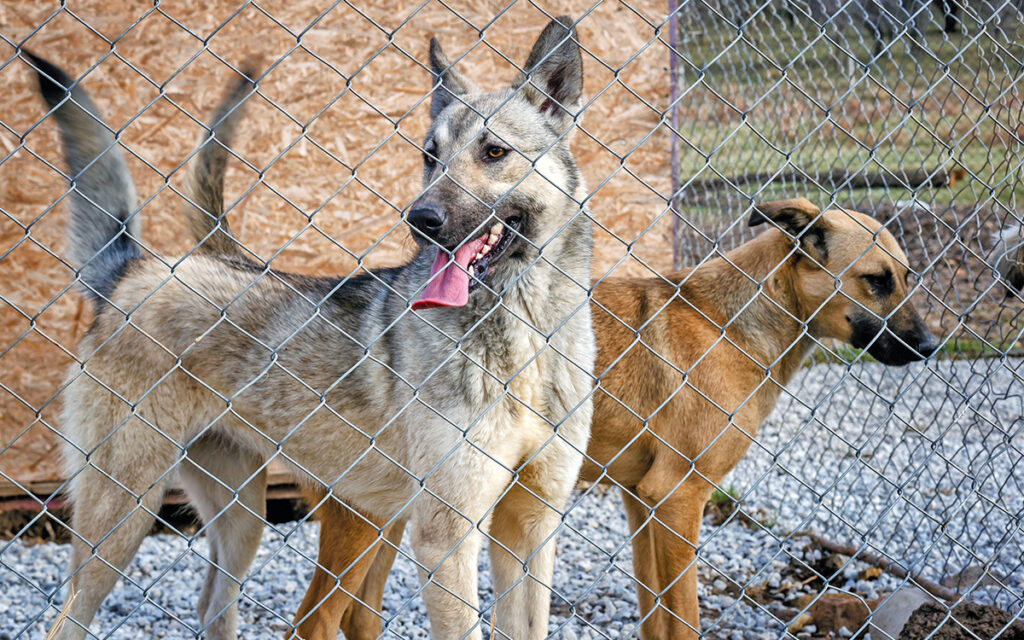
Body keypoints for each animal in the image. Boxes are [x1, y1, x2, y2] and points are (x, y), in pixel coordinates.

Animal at [29, 14, 593, 638]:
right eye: (430, 156)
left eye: (494, 152)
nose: (420, 218)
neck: (523, 333)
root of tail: (130, 271)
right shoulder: (446, 539)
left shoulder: (531, 529)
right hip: (123, 516)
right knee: (69, 619)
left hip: (242, 515)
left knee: (213, 605)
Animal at [294, 197, 937, 634]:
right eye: (876, 281)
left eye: (908, 277)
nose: (932, 346)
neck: (733, 321)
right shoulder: (678, 499)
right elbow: (684, 620)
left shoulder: (642, 503)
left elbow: (656, 619)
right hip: (366, 519)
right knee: (315, 620)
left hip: (395, 511)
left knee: (356, 617)